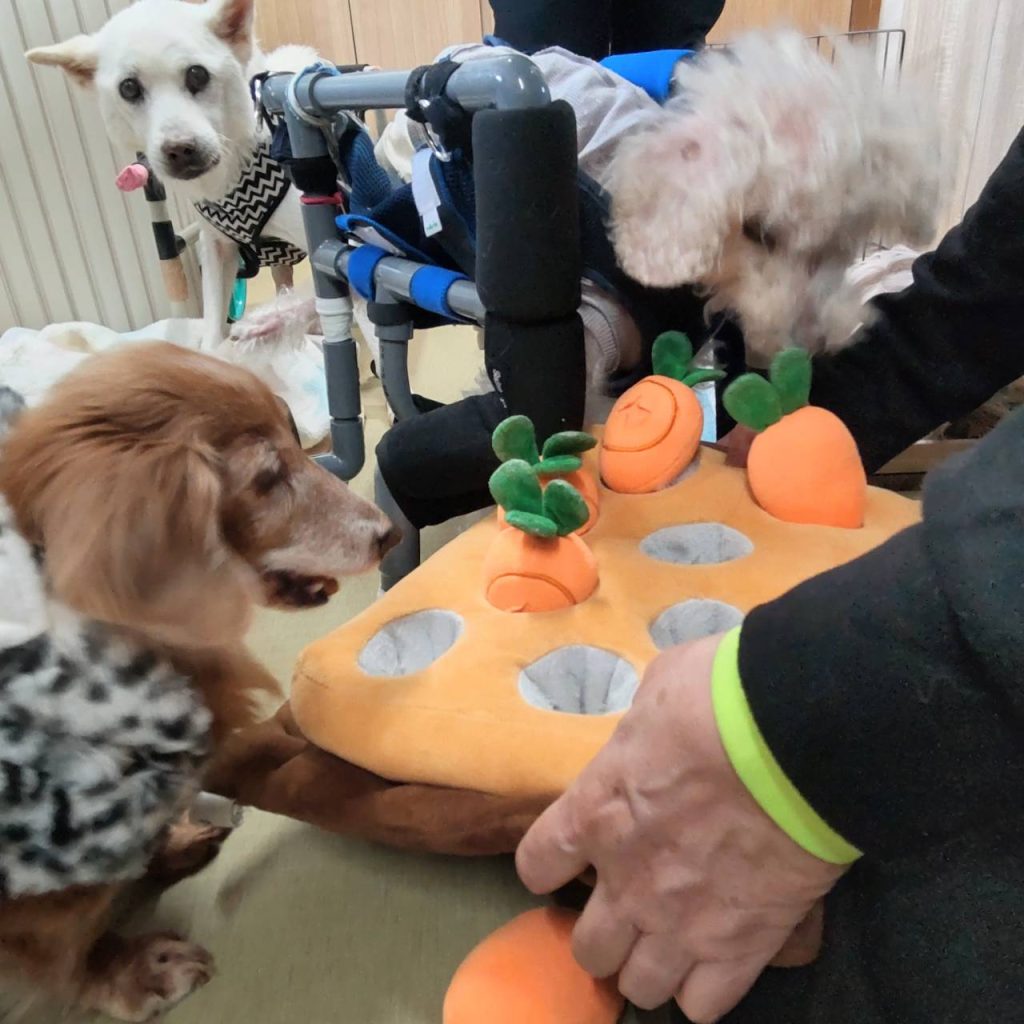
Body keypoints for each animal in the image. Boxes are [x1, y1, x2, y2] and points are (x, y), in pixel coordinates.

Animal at [0, 343, 397, 1020]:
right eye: (267, 479)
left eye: (296, 435)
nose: (388, 533)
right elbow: (67, 948)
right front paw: (129, 973)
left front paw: (170, 845)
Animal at [27, 0, 316, 352]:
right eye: (129, 88)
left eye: (197, 74)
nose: (179, 150)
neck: (231, 169)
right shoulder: (217, 249)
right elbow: (212, 325)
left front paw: (274, 320)